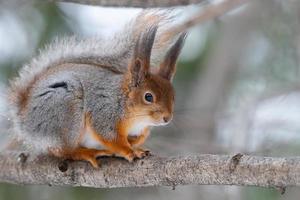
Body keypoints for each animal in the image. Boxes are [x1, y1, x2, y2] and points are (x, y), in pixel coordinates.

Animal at [6, 10, 185, 168]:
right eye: (148, 97)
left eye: (174, 97)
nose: (167, 118)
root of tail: (23, 118)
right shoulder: (104, 113)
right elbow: (110, 138)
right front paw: (129, 151)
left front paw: (135, 147)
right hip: (66, 113)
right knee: (63, 150)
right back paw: (86, 153)